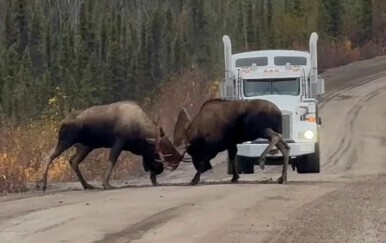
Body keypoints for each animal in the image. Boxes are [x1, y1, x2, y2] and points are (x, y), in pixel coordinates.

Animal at [41, 100, 183, 192]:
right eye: (154, 152)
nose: (159, 169)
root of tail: (63, 122)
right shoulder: (119, 142)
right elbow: (112, 160)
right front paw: (106, 184)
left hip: (85, 146)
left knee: (73, 161)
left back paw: (87, 185)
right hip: (66, 140)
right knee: (48, 156)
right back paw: (42, 185)